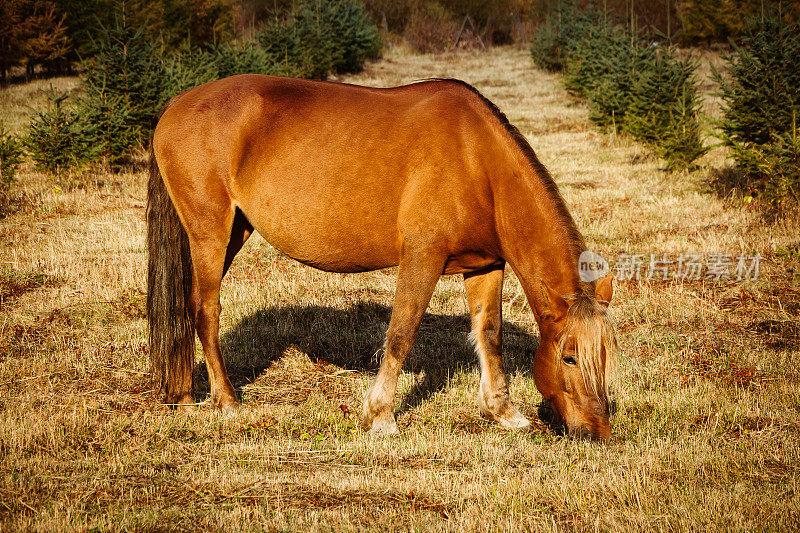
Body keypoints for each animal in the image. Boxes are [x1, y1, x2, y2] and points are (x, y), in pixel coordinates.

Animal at [145, 75, 620, 440]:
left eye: (606, 356)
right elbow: (401, 333)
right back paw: (226, 401)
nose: (596, 431)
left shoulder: (485, 265)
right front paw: (382, 417)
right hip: (210, 232)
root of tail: (174, 106)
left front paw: (504, 412)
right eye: (569, 358)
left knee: (188, 307)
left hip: (234, 232)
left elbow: (490, 335)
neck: (477, 160)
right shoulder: (422, 258)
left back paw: (184, 395)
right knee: (205, 309)